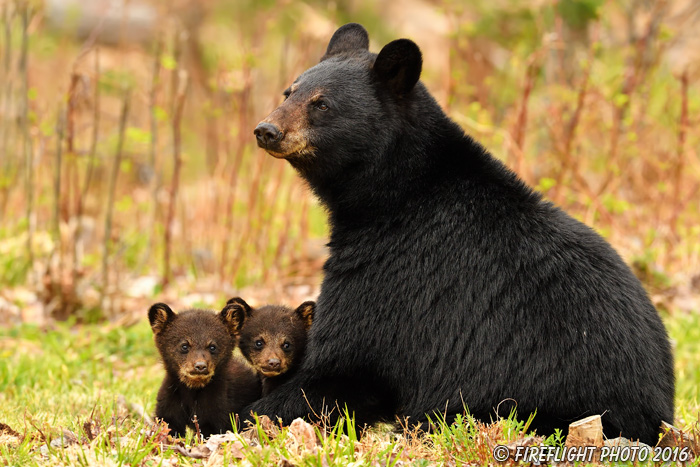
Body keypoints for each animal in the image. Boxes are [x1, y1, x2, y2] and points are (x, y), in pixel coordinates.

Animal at [149, 304, 262, 438]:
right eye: (184, 346)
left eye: (212, 346)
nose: (200, 366)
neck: (193, 391)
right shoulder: (169, 401)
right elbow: (167, 424)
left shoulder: (218, 407)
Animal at [249, 22, 676, 446]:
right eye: (290, 91)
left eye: (321, 104)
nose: (266, 130)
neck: (396, 193)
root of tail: (655, 416)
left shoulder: (390, 274)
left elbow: (345, 365)